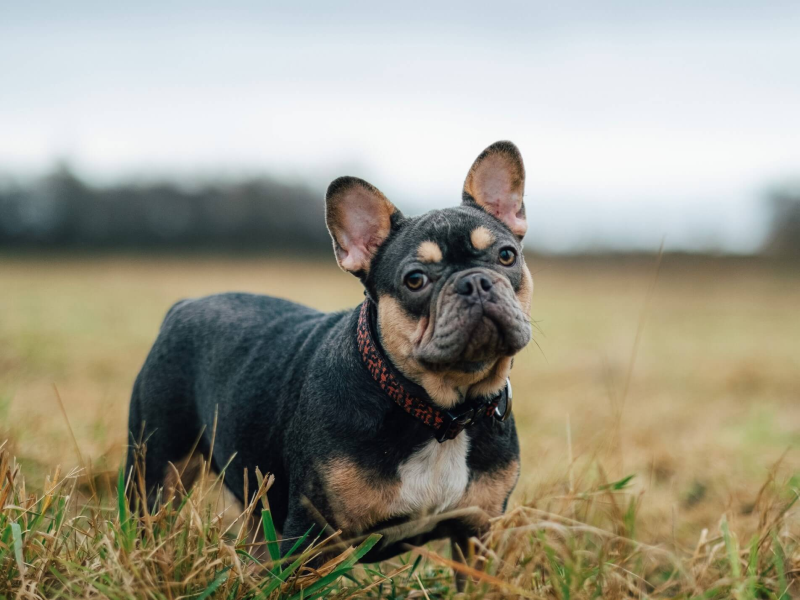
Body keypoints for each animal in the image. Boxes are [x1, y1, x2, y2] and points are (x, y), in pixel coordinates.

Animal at [128, 141, 536, 564]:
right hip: (157, 466)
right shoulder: (309, 535)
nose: (475, 281)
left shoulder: (475, 534)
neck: (442, 413)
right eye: (415, 280)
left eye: (507, 256)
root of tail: (185, 305)